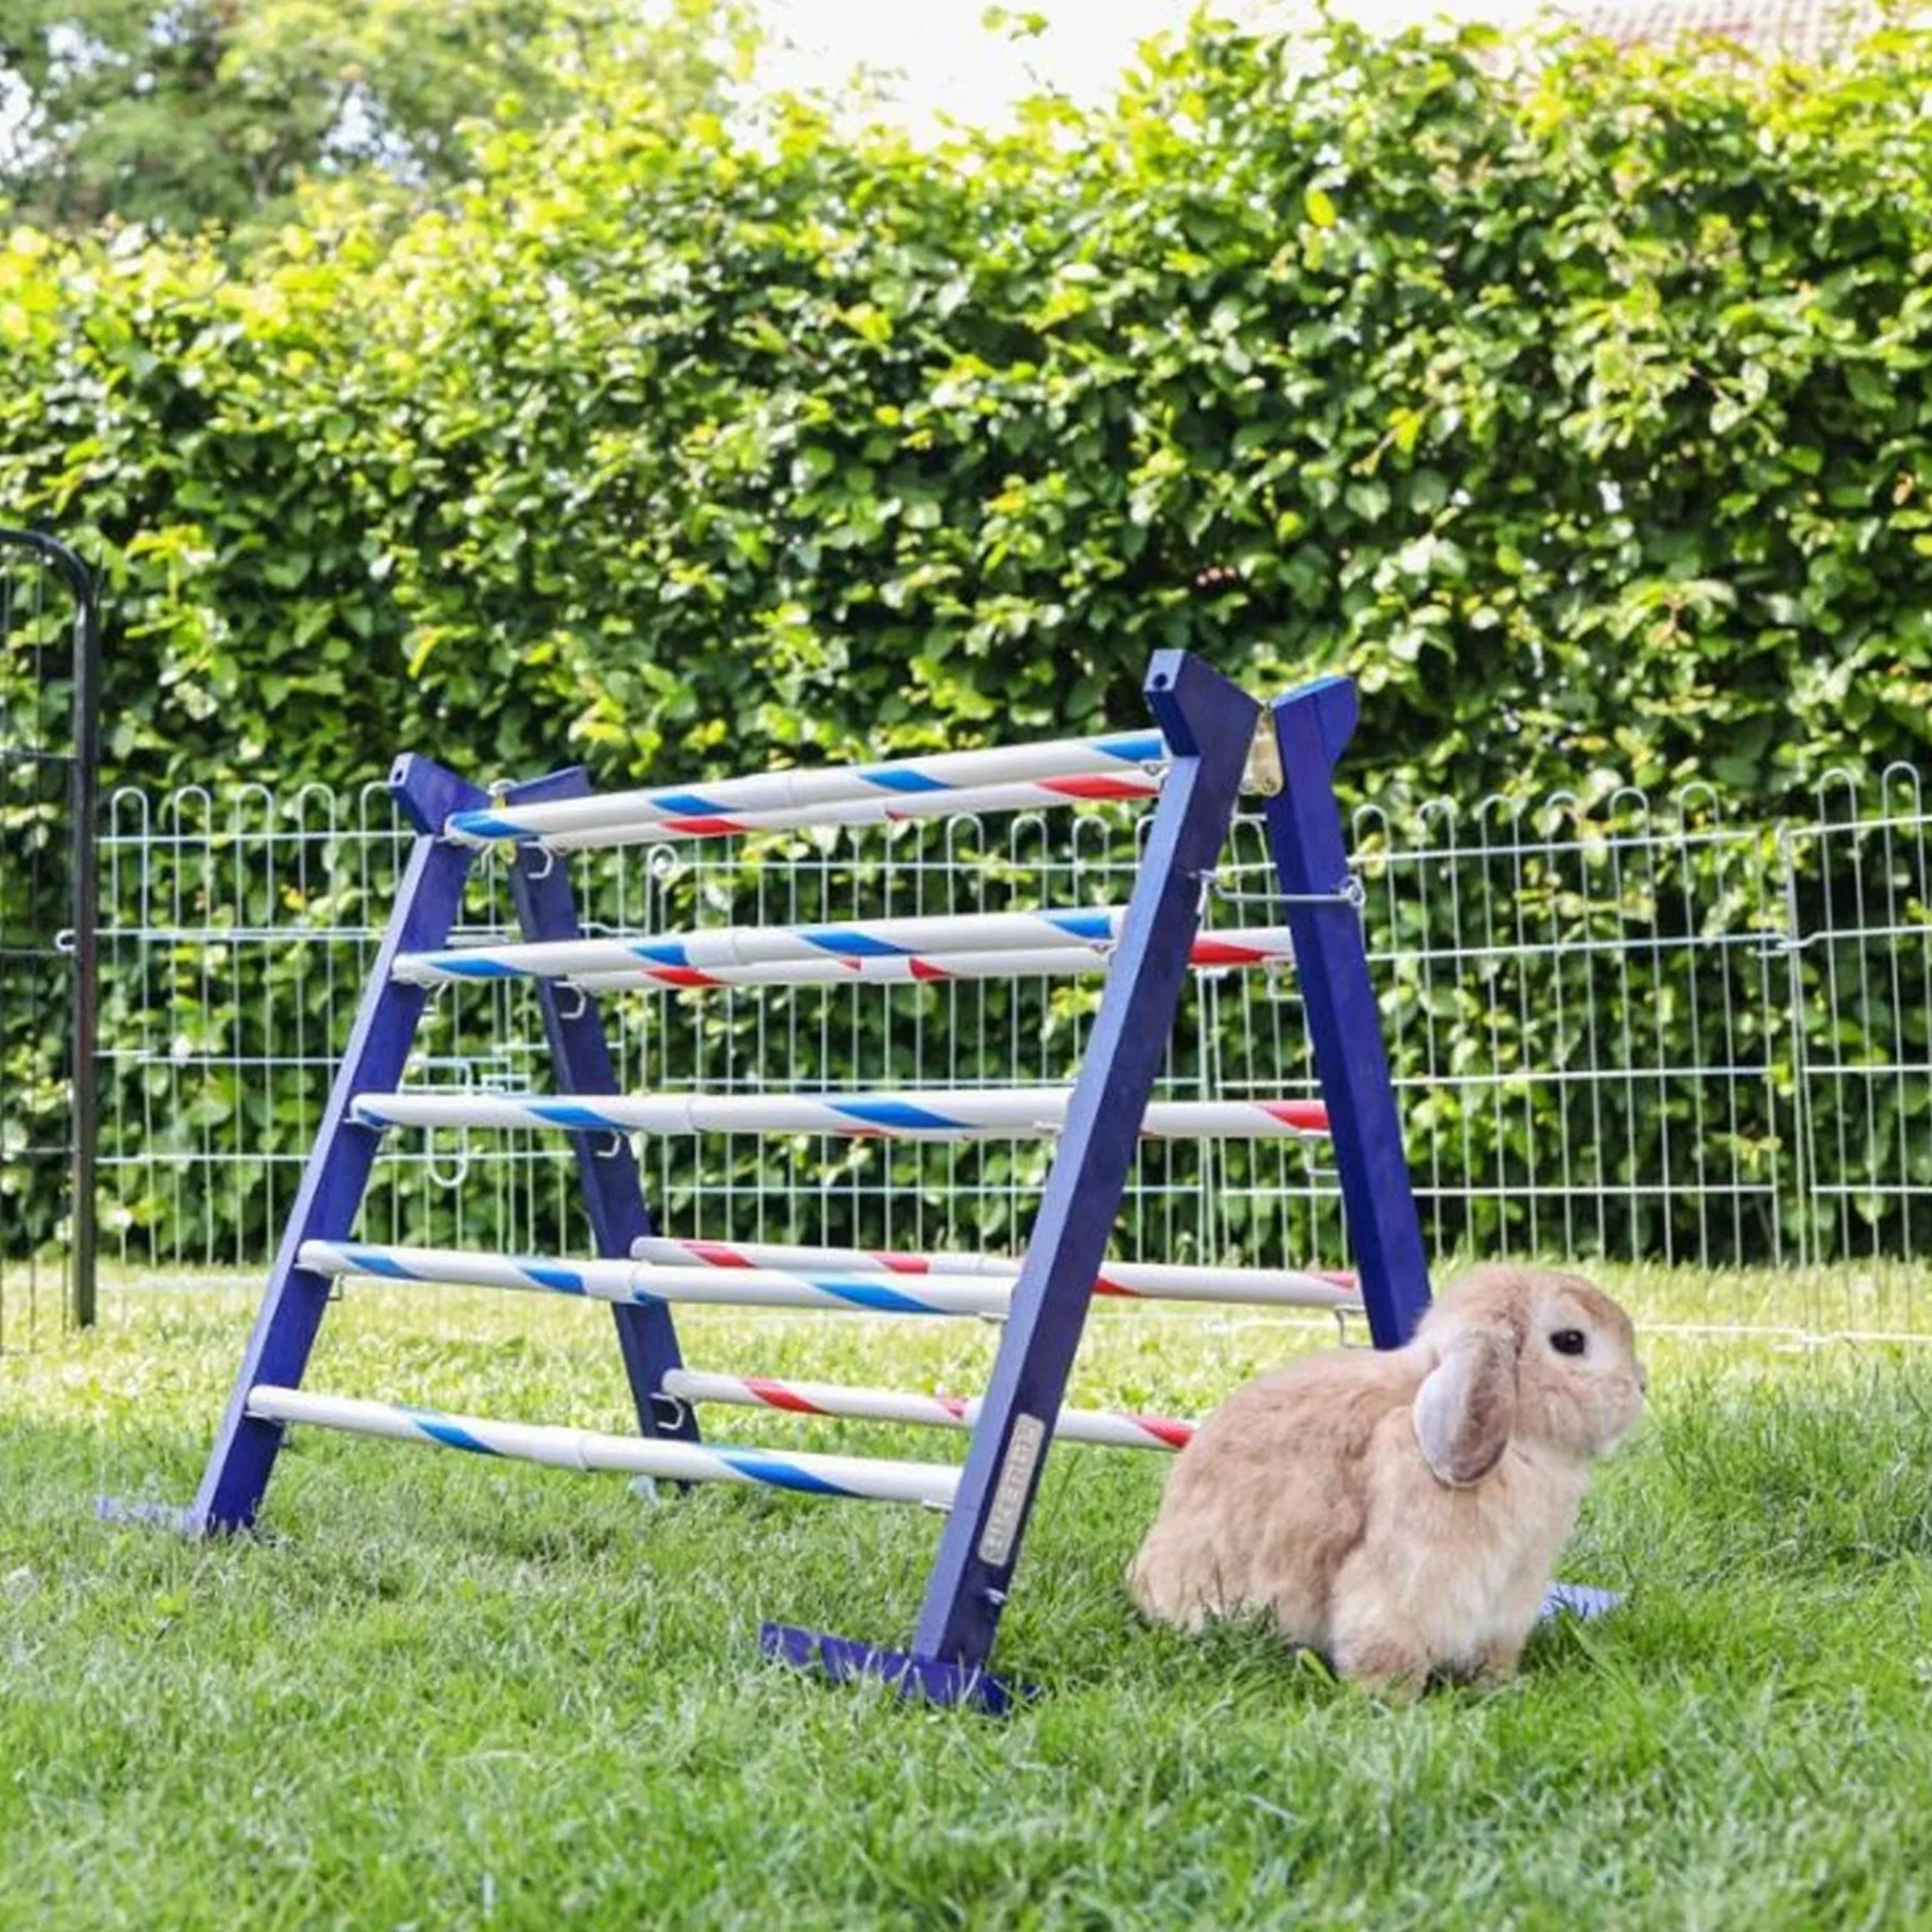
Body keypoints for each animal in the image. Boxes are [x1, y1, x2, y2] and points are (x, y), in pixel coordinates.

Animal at [1126, 1265, 1646, 1697]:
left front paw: (1499, 1687)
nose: (1641, 1385)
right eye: (1571, 1341)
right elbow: (1385, 1648)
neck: (1520, 1440)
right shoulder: (1401, 1585)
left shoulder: (1510, 1601)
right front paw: (1394, 1701)